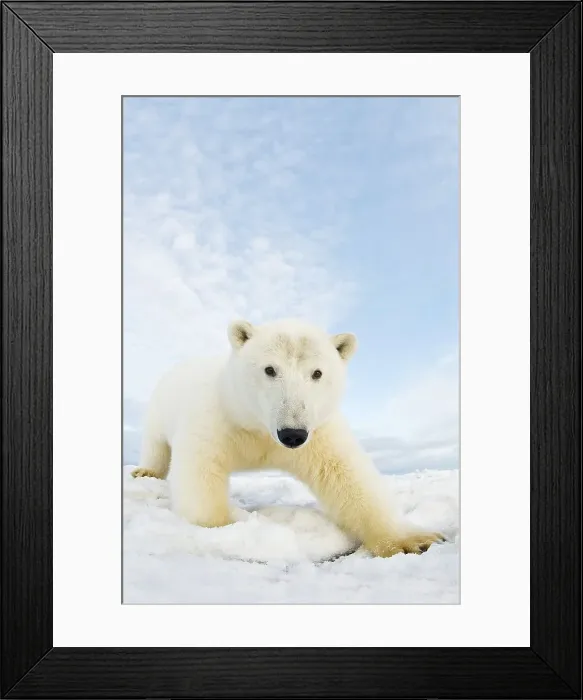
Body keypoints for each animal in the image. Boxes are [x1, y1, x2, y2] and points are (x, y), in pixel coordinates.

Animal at [131, 318, 444, 558]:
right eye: (270, 369)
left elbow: (347, 477)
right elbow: (200, 475)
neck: (259, 427)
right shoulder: (216, 418)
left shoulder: (318, 432)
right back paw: (146, 471)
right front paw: (234, 525)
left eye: (317, 373)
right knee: (155, 442)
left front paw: (413, 541)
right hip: (160, 406)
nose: (292, 434)